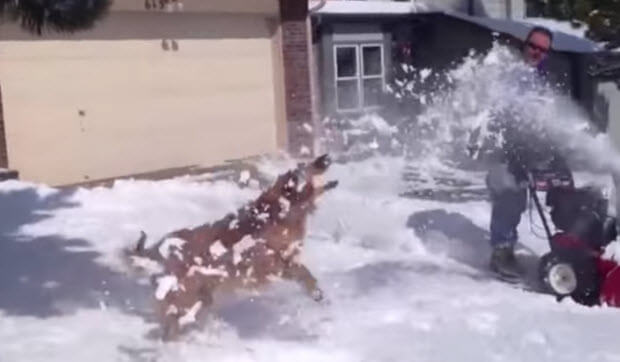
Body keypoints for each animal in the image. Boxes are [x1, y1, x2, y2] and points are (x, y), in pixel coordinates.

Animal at [127, 153, 340, 340]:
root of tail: (163, 248)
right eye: (305, 167)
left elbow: (305, 275)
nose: (325, 157)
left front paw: (317, 293)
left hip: (201, 296)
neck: (280, 211)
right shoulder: (269, 264)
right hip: (188, 296)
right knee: (174, 320)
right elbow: (299, 271)